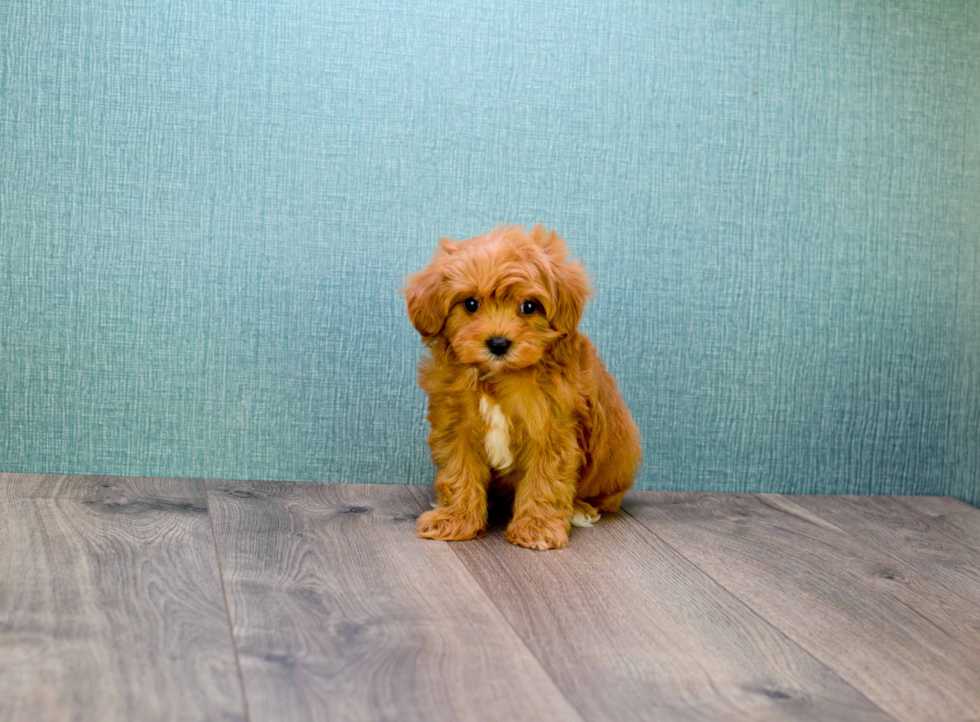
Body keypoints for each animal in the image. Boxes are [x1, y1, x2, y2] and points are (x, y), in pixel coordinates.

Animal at [402, 222, 640, 548]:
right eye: (471, 304)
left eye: (529, 306)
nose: (498, 343)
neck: (499, 376)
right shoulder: (456, 425)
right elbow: (459, 471)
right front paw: (455, 519)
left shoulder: (551, 428)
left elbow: (545, 479)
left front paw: (536, 527)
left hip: (616, 460)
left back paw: (580, 510)